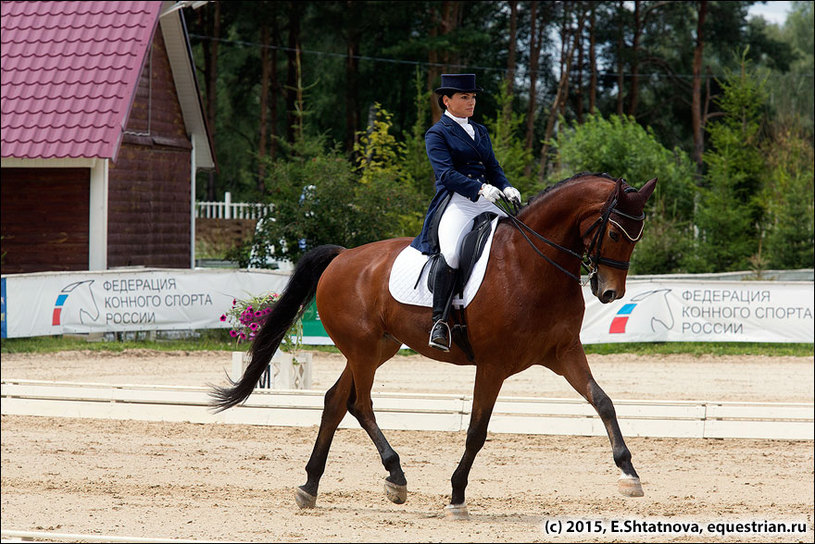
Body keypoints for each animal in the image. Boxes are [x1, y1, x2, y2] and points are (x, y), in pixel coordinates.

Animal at [209, 172, 656, 516]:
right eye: (613, 232)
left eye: (637, 237)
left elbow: (603, 402)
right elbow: (477, 431)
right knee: (360, 404)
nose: (610, 293)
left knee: (336, 401)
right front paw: (457, 495)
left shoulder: (564, 352)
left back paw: (311, 486)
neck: (533, 264)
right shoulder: (493, 365)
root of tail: (342, 255)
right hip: (364, 350)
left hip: (374, 349)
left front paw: (629, 474)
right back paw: (395, 476)